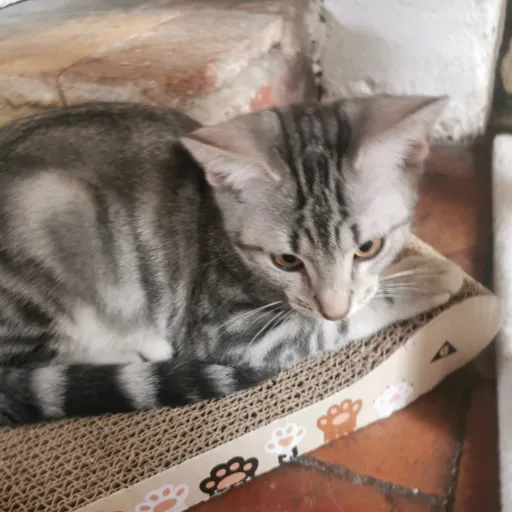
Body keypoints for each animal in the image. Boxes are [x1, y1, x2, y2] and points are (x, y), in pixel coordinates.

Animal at [0, 96, 463, 426]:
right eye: (286, 260)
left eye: (368, 247)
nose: (333, 306)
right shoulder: (227, 332)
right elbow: (325, 328)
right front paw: (431, 279)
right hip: (54, 216)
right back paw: (139, 346)